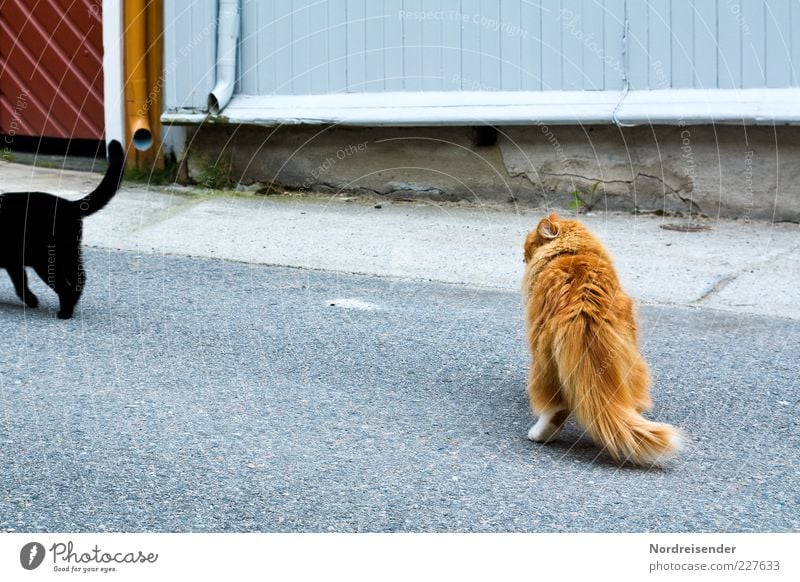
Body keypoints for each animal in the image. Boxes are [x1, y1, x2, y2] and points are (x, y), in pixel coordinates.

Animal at [0, 141, 125, 320]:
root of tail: (69, 205)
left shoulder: (14, 262)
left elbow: (20, 282)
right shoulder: (13, 262)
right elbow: (20, 282)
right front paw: (31, 300)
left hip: (46, 259)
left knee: (64, 285)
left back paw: (65, 312)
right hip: (69, 252)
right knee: (80, 278)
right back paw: (73, 302)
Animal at [524, 213, 680, 466]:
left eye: (528, 247)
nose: (524, 257)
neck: (572, 252)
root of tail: (584, 309)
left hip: (542, 361)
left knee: (555, 407)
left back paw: (539, 434)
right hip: (632, 359)